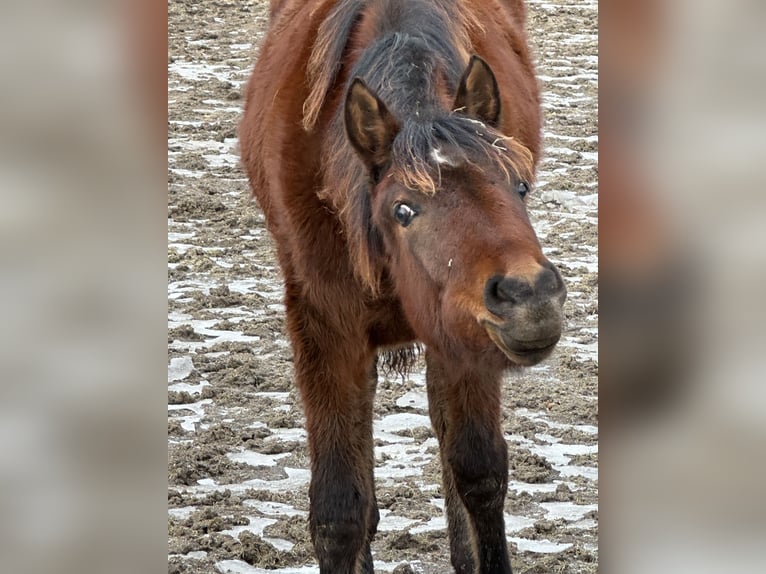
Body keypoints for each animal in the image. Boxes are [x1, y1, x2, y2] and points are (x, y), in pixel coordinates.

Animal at [242, 2, 568, 572]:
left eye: (521, 186)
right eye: (403, 210)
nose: (531, 297)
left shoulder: (462, 330)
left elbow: (480, 475)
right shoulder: (325, 327)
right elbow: (338, 513)